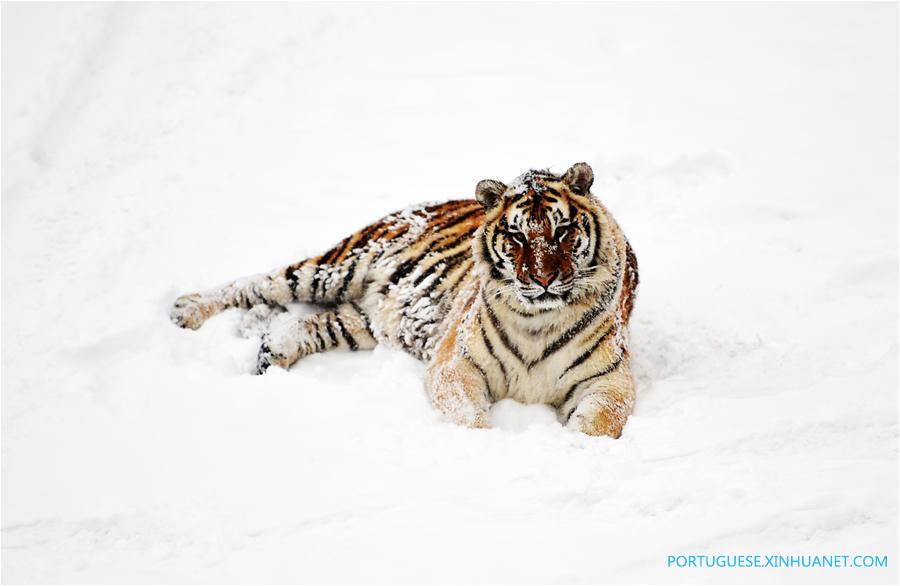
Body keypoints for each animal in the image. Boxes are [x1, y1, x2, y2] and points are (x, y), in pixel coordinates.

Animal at [171, 162, 640, 436]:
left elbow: (598, 425)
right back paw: (185, 309)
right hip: (334, 267)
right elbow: (468, 418)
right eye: (517, 235)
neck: (539, 320)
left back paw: (273, 352)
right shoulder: (455, 366)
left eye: (562, 230)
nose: (543, 279)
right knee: (255, 283)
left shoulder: (609, 382)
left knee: (309, 322)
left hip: (370, 321)